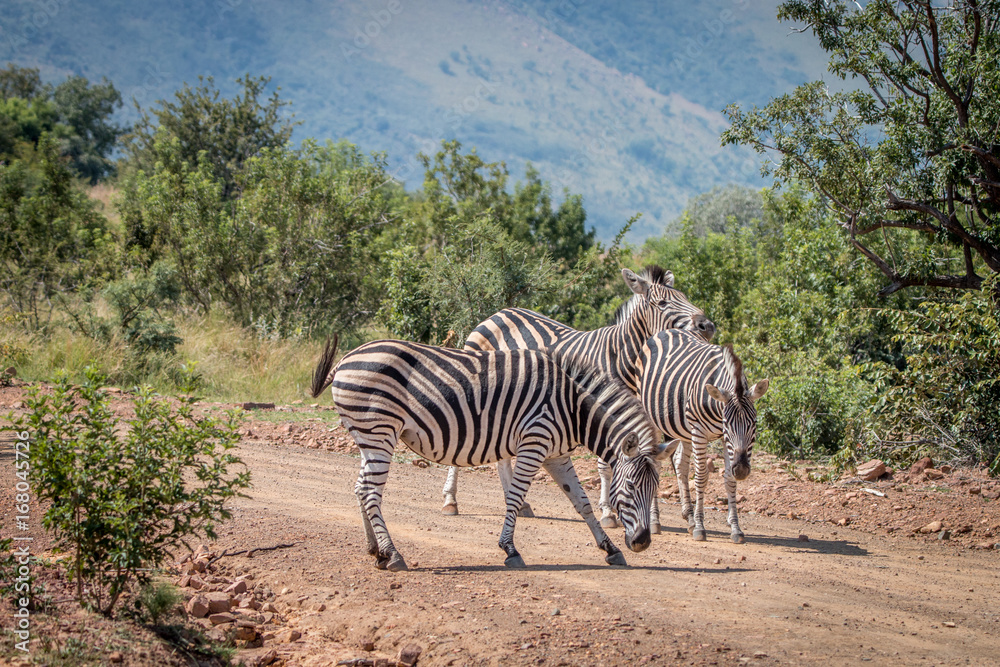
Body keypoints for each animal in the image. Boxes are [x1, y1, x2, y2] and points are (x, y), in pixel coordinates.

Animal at [310, 336, 669, 571]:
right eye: (632, 487)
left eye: (654, 489)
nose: (642, 543)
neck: (573, 406)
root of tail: (346, 359)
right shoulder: (534, 442)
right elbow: (515, 497)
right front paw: (510, 549)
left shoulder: (557, 455)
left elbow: (581, 503)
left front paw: (610, 548)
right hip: (379, 431)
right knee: (371, 492)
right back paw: (393, 554)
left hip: (368, 436)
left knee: (360, 488)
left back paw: (376, 551)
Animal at [441, 265, 715, 521]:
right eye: (662, 303)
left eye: (685, 296)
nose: (708, 326)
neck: (620, 357)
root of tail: (499, 313)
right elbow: (606, 465)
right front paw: (608, 512)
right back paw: (450, 501)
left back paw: (519, 503)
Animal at [635, 330, 769, 543]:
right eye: (727, 424)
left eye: (754, 424)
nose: (742, 470)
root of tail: (666, 330)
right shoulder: (700, 431)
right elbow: (701, 476)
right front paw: (699, 526)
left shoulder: (722, 439)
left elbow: (729, 478)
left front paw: (736, 528)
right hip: (654, 418)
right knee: (656, 463)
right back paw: (655, 521)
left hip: (683, 429)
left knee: (680, 464)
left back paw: (688, 518)